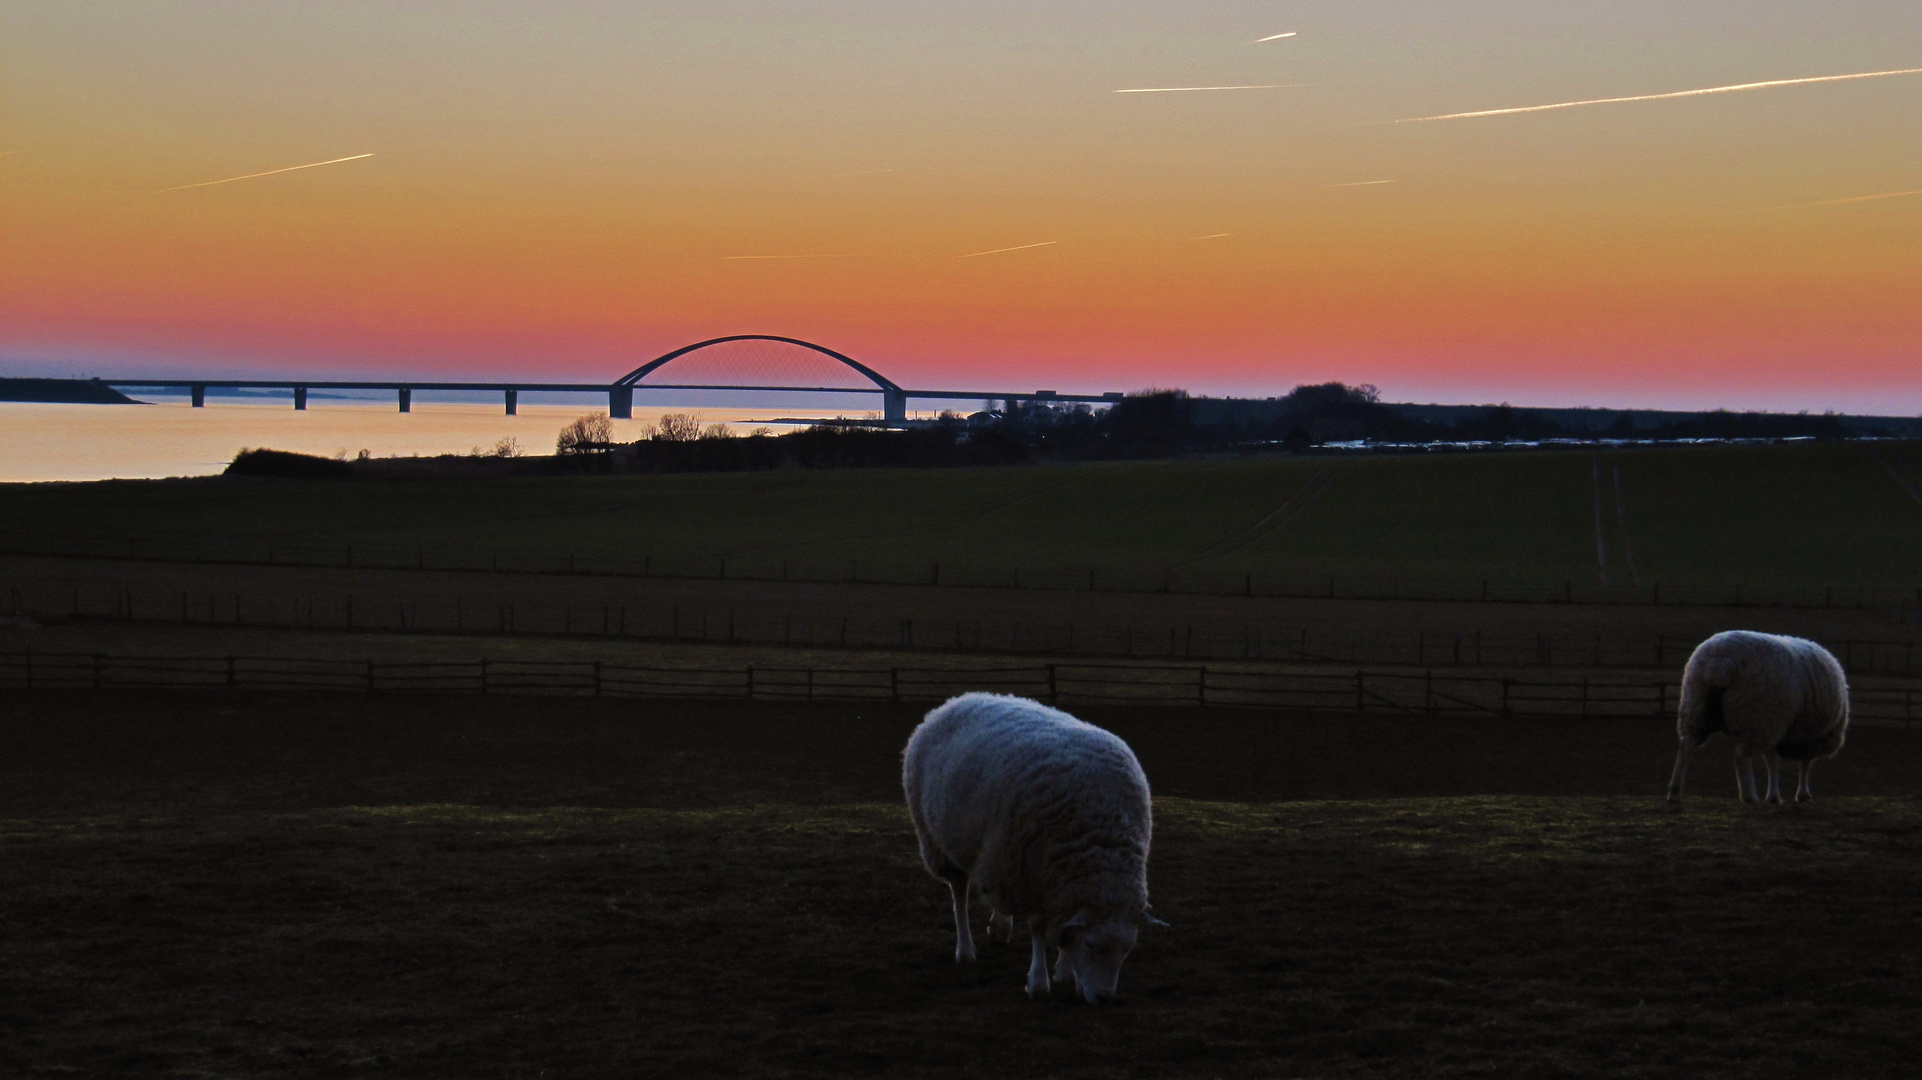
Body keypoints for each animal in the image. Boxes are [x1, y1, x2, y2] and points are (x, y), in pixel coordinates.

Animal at [899, 687, 1153, 999]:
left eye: (1127, 949)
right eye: (1091, 945)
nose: (1104, 999)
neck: (1098, 840)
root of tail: (960, 699)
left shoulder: (1046, 877)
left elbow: (1062, 928)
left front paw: (1064, 973)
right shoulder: (1030, 874)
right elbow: (1038, 927)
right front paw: (1038, 980)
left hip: (1000, 853)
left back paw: (999, 927)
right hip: (942, 843)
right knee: (958, 891)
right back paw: (966, 949)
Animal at [1668, 630, 1845, 799]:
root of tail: (1720, 662)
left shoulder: (1779, 731)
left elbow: (1772, 760)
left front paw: (1774, 796)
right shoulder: (1806, 735)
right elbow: (1803, 764)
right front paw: (1801, 794)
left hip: (1696, 707)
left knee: (1686, 746)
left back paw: (1675, 792)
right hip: (1758, 719)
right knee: (1740, 755)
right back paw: (1749, 796)